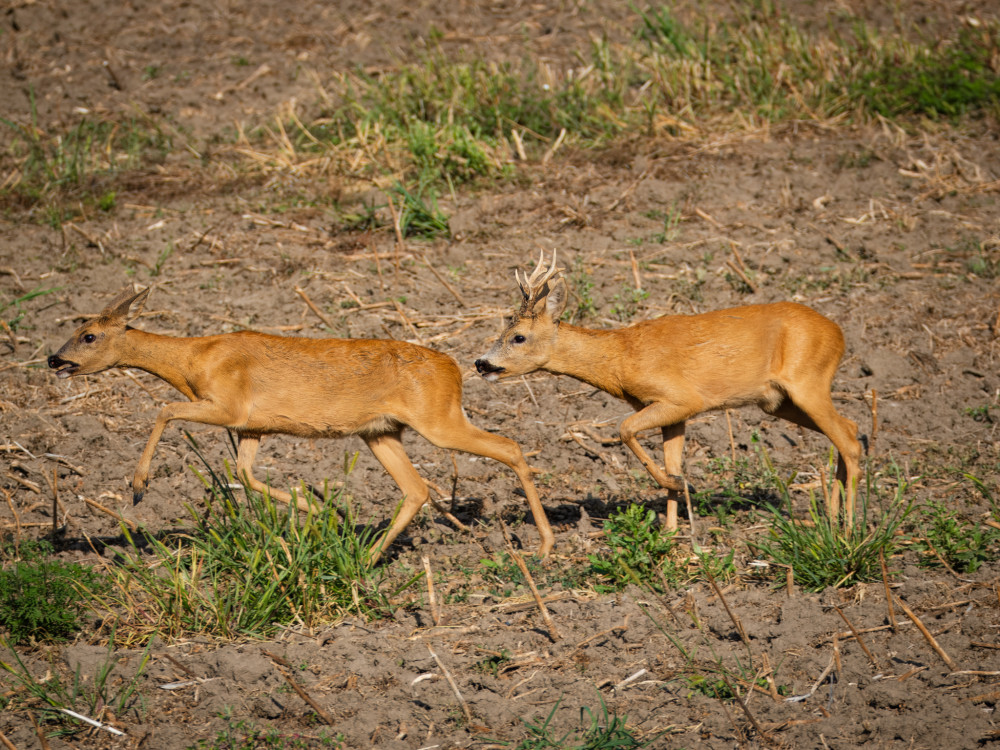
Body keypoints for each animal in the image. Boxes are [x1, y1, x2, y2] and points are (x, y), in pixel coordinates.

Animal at [48, 288, 556, 564]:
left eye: (89, 335)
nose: (54, 359)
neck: (194, 361)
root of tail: (454, 368)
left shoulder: (228, 408)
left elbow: (164, 410)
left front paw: (138, 487)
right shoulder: (252, 427)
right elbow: (244, 474)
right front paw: (317, 512)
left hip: (438, 421)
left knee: (510, 447)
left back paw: (545, 545)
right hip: (380, 432)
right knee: (416, 489)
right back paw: (368, 556)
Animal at [474, 256, 860, 532]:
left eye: (518, 336)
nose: (480, 363)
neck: (621, 358)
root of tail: (840, 333)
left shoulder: (681, 398)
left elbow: (625, 429)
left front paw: (681, 487)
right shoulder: (673, 413)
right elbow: (671, 460)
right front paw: (673, 533)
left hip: (807, 382)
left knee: (849, 441)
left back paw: (848, 528)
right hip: (779, 402)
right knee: (851, 430)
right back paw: (832, 516)